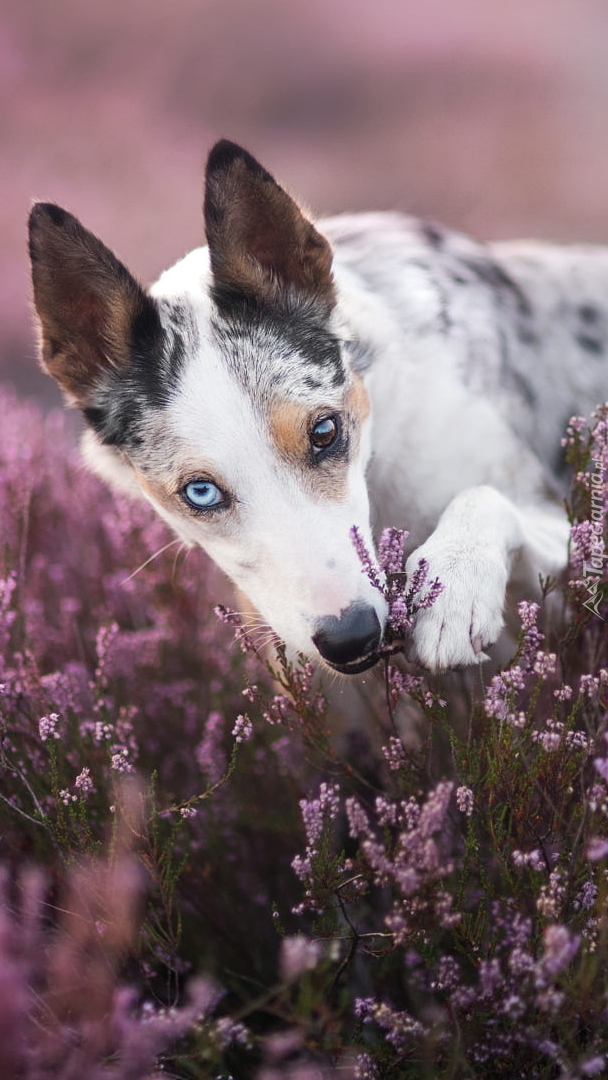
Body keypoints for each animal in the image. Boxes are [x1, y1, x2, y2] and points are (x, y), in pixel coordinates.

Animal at [28, 137, 608, 673]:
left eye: (325, 432)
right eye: (200, 492)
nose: (353, 639)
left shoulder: (566, 534)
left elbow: (485, 497)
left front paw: (455, 585)